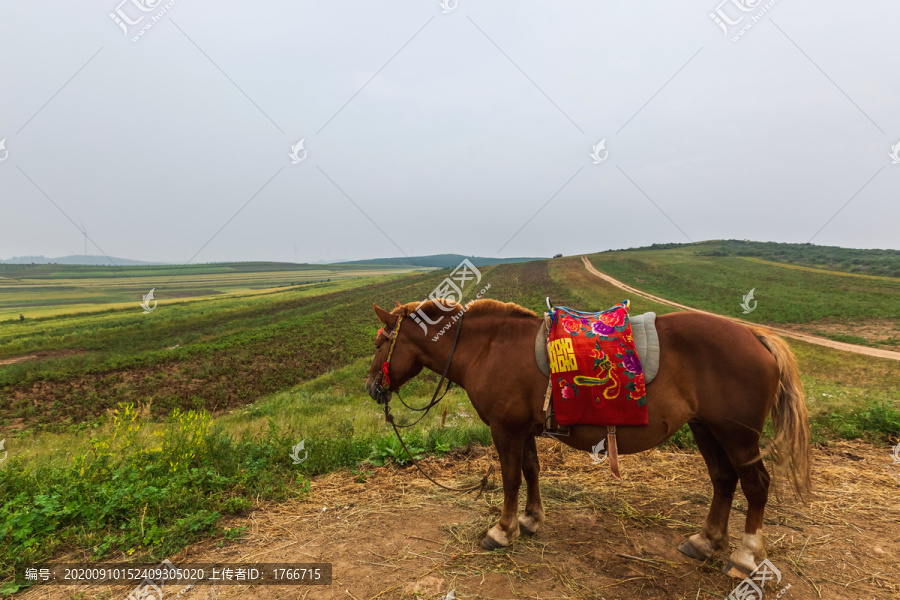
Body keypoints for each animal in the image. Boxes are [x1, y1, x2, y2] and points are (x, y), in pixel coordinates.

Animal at [362, 298, 812, 580]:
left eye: (381, 342)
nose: (371, 387)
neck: (489, 348)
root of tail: (754, 336)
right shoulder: (524, 430)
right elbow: (531, 471)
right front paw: (530, 520)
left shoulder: (505, 430)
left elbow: (510, 479)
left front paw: (502, 530)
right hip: (707, 428)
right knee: (723, 479)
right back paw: (706, 541)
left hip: (738, 436)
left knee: (756, 485)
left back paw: (746, 556)